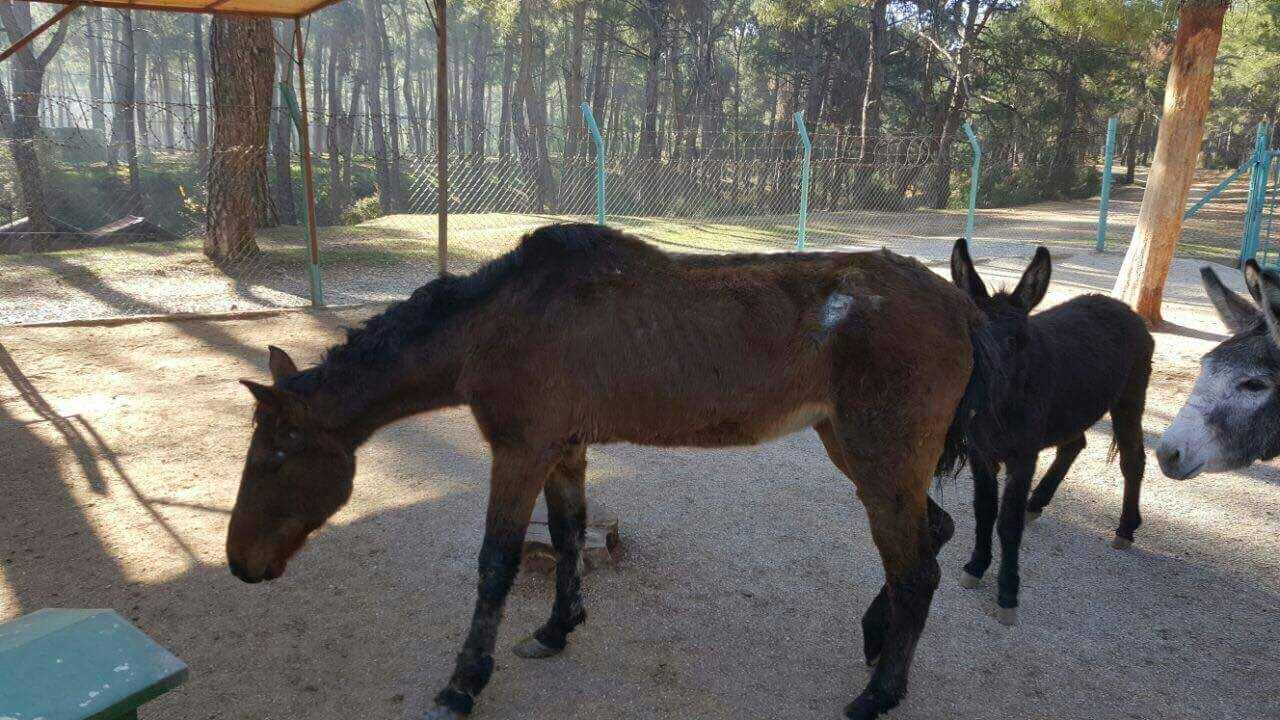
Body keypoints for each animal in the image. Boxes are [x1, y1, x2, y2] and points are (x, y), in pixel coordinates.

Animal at [227, 221, 988, 712]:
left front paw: (464, 682)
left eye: (274, 458)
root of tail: (959, 305)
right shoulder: (562, 451)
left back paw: (880, 693)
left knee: (917, 569)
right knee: (932, 536)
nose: (239, 563)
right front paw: (557, 628)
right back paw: (875, 639)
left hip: (880, 459)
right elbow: (568, 537)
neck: (496, 324)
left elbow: (496, 562)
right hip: (860, 454)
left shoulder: (520, 452)